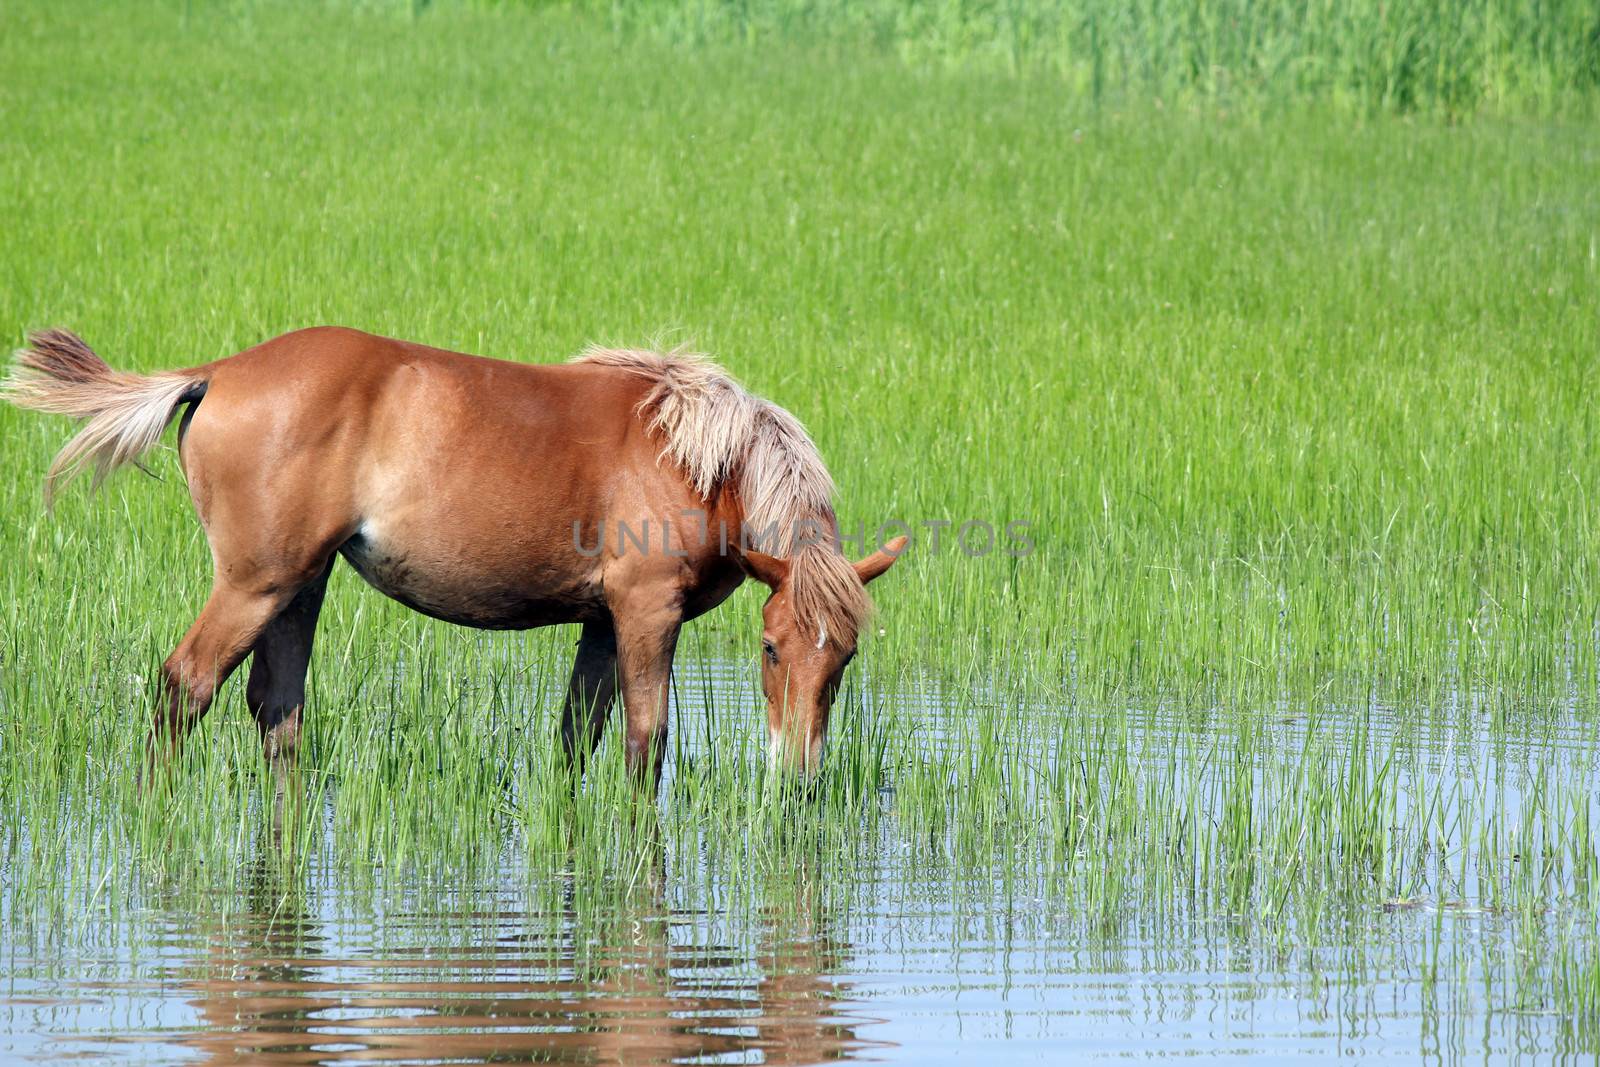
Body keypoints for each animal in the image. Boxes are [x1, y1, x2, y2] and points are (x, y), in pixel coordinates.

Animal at [3, 329, 902, 790]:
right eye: (770, 648)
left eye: (846, 659)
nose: (799, 778)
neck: (695, 453)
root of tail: (217, 372)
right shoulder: (647, 610)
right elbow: (646, 742)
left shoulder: (601, 622)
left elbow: (577, 737)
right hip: (254, 584)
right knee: (184, 686)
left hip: (300, 584)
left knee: (276, 709)